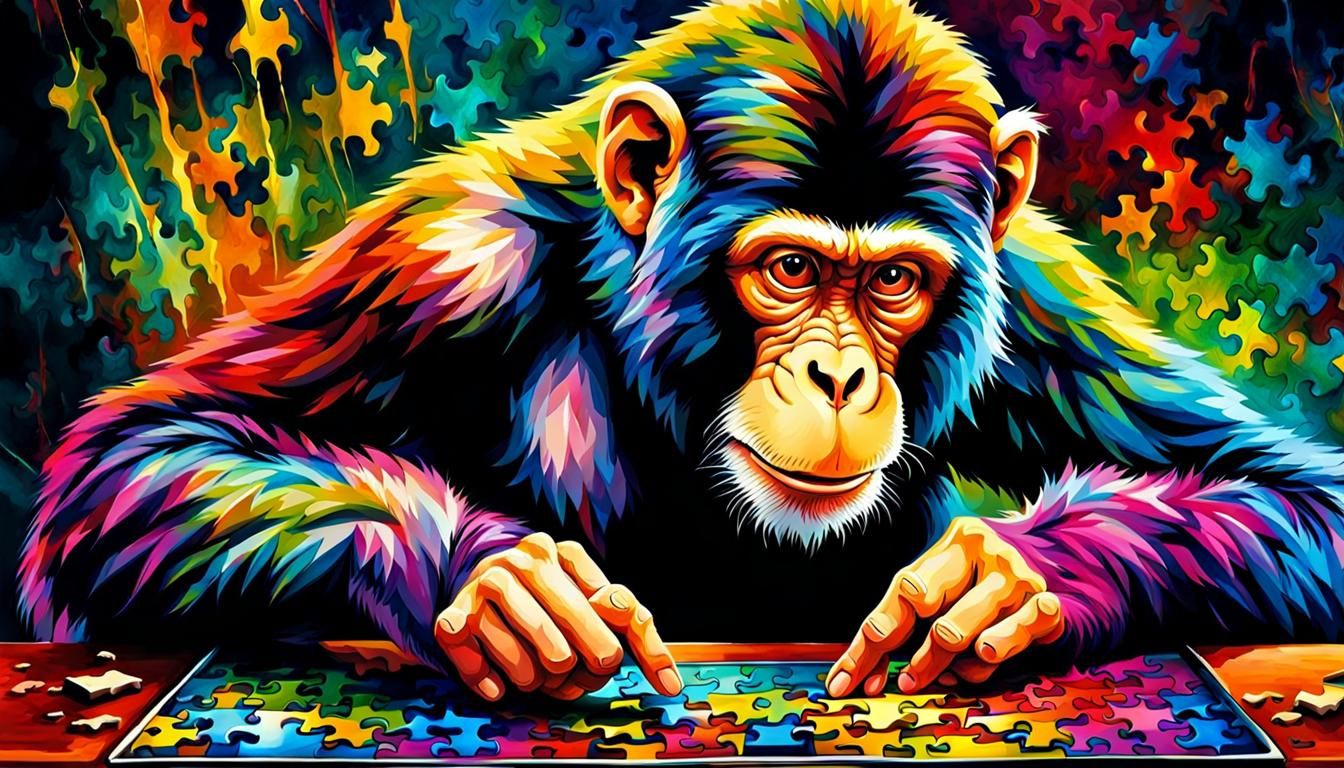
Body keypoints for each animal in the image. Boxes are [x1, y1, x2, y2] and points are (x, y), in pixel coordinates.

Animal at [19, 0, 1344, 703]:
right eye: (791, 270)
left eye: (896, 281)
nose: (837, 374)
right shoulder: (446, 254)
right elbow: (145, 447)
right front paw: (498, 583)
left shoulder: (1031, 291)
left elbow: (1290, 490)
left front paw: (1008, 580)